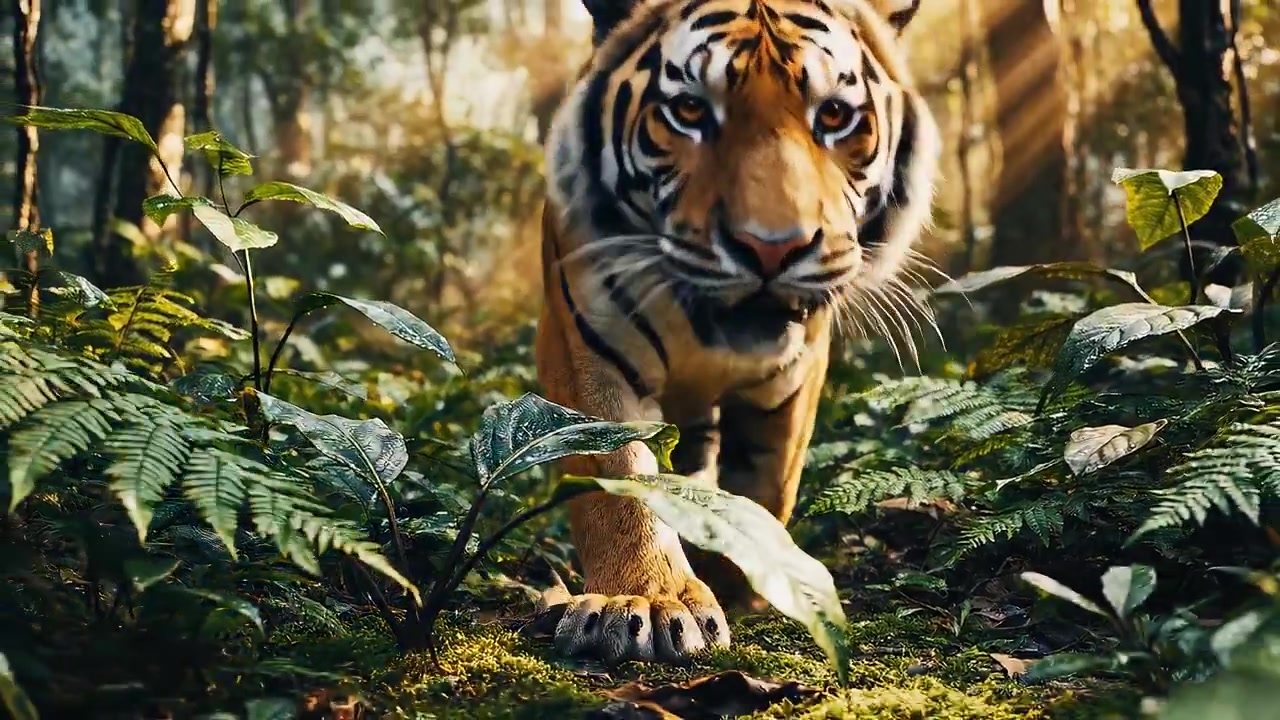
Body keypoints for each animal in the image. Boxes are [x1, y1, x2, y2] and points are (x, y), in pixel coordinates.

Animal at [535, 0, 941, 663]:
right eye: (690, 110)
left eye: (834, 115)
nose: (771, 247)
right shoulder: (585, 349)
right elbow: (622, 477)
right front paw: (645, 600)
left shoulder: (795, 373)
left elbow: (766, 482)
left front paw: (746, 573)